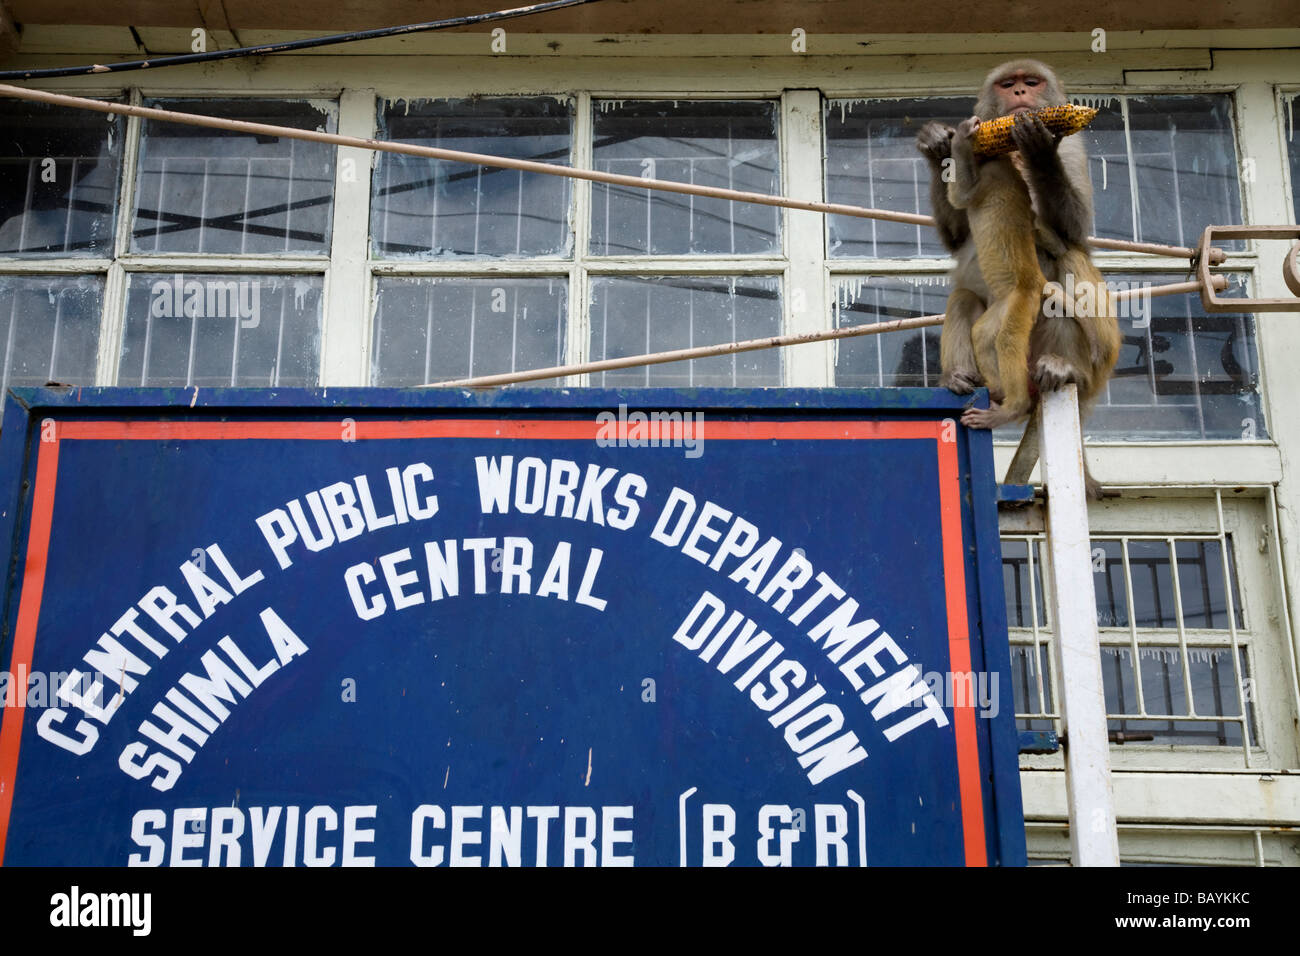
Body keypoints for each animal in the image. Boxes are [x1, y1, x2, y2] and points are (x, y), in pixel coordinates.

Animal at [920, 57, 1123, 502]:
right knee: (966, 302)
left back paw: (1061, 372)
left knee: (1066, 270)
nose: (1019, 94)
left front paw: (1038, 151)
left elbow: (1072, 231)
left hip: (1044, 329)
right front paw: (937, 143)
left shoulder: (1072, 147)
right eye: (1007, 84)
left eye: (1031, 82)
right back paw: (965, 380)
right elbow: (957, 234)